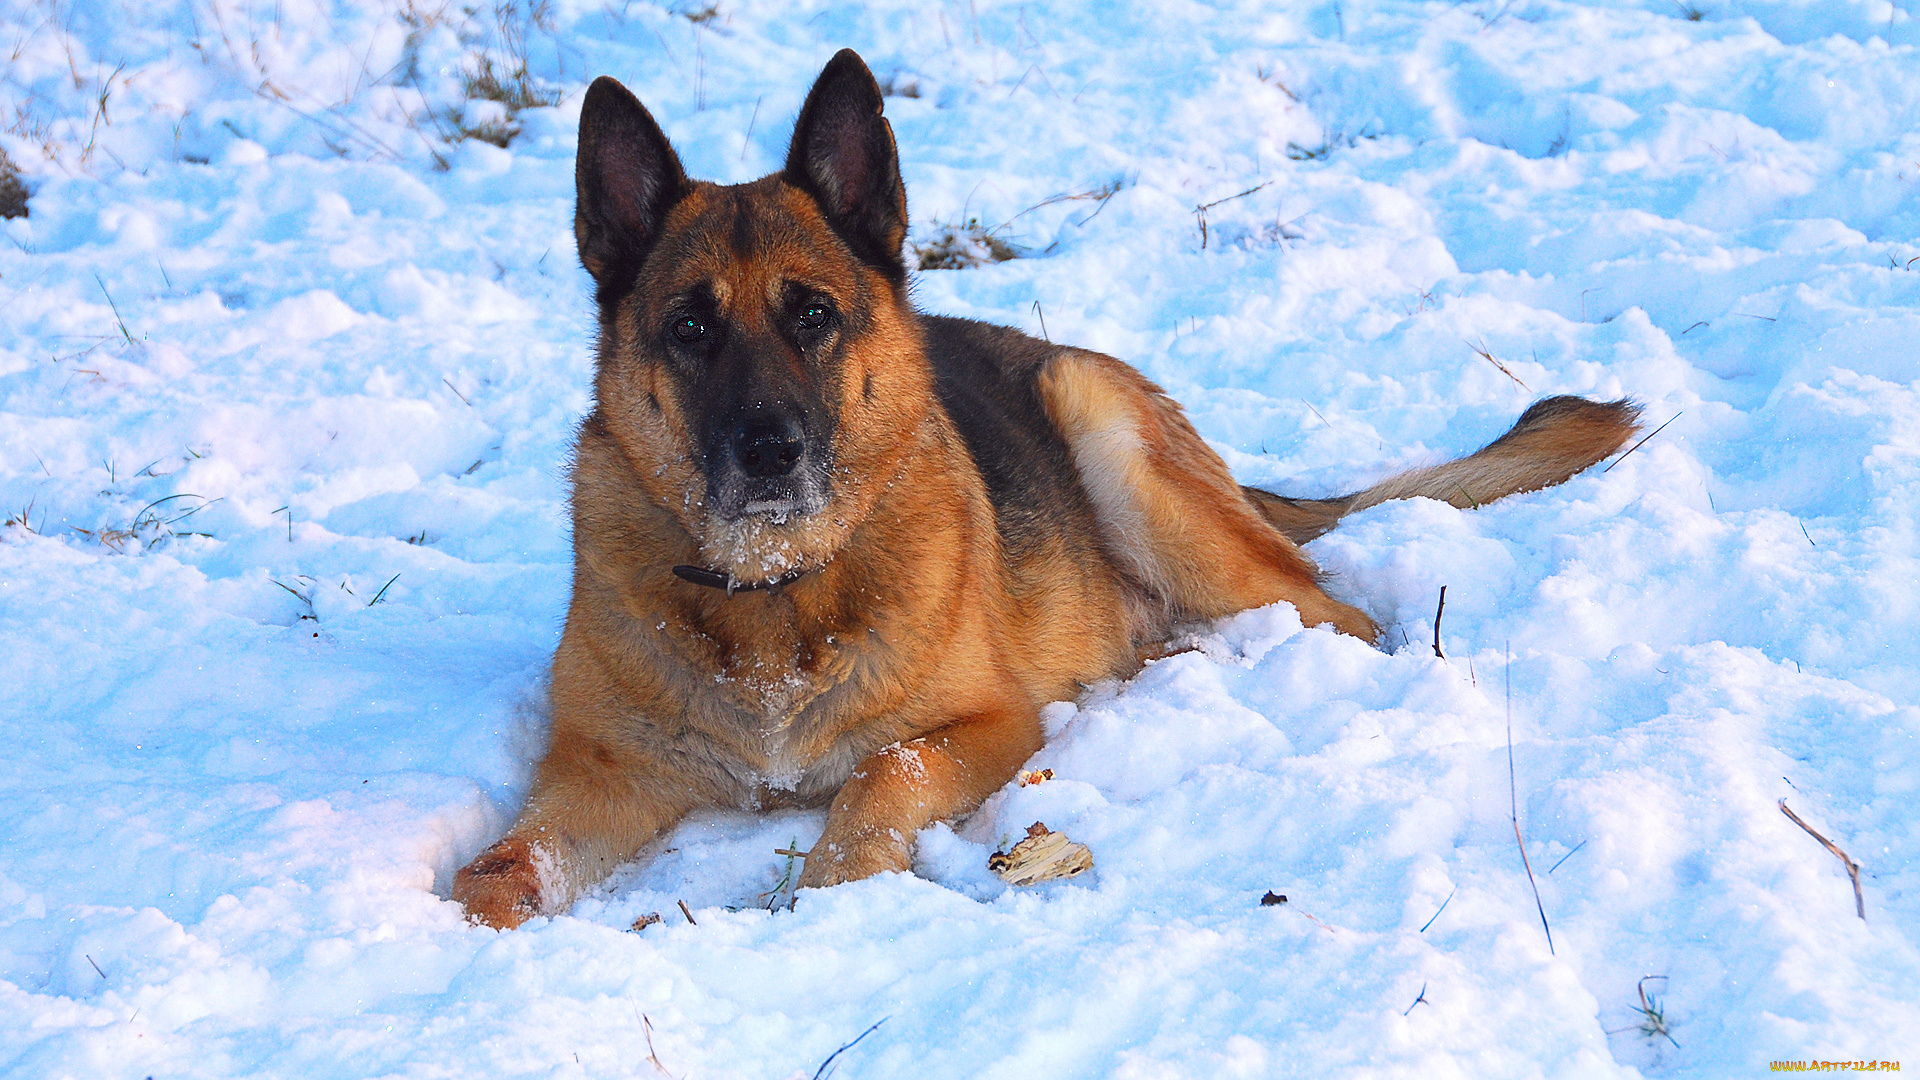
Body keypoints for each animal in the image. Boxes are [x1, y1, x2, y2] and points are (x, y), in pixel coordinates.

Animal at [449, 52, 1635, 926]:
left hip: (1109, 433)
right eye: (690, 327)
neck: (773, 597)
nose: (770, 451)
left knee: (1337, 611)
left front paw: (834, 889)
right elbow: (497, 870)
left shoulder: (986, 726)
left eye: (813, 315)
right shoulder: (597, 774)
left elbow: (884, 774)